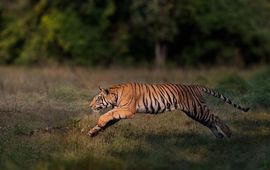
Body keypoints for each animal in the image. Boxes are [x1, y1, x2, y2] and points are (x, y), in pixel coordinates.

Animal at [87, 83, 250, 139]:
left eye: (97, 99)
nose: (90, 106)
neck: (115, 95)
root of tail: (195, 86)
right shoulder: (120, 111)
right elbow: (109, 118)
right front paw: (93, 131)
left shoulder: (128, 110)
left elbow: (108, 114)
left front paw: (99, 123)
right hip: (195, 113)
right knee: (210, 122)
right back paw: (219, 136)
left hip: (197, 109)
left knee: (215, 117)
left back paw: (228, 133)